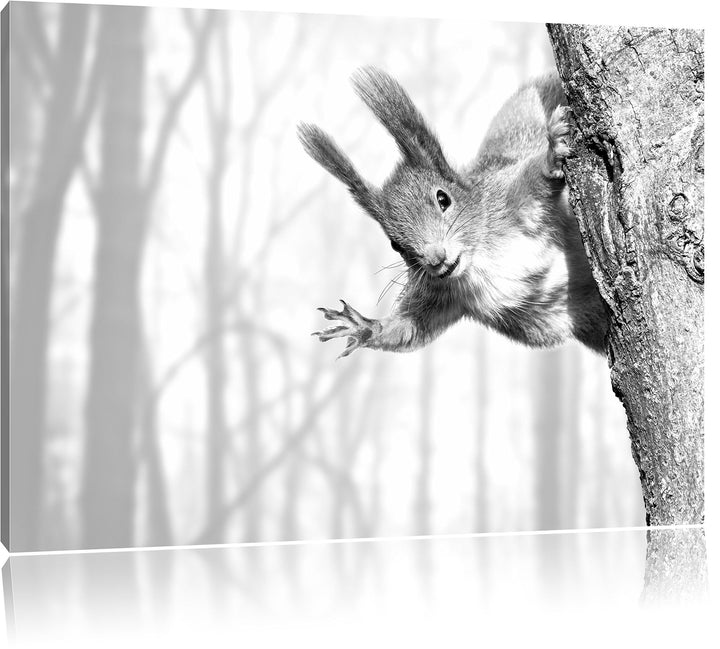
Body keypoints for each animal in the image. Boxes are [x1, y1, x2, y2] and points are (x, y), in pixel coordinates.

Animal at [298, 67, 608, 358]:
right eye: (395, 244)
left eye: (443, 198)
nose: (436, 259)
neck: (478, 260)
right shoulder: (443, 295)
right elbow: (411, 329)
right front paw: (364, 327)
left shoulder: (509, 199)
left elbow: (534, 180)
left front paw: (552, 154)